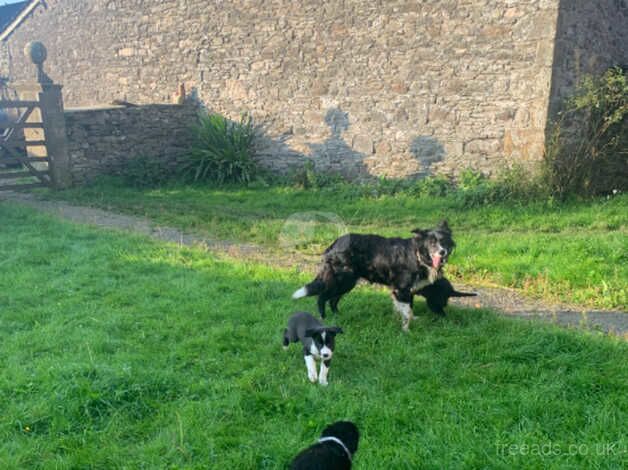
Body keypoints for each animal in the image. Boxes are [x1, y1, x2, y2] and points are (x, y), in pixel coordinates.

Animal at [292, 220, 458, 330]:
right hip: (342, 280)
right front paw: (406, 330)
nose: (442, 252)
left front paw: (407, 320)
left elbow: (407, 309)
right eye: (431, 243)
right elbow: (407, 312)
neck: (418, 255)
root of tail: (334, 243)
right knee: (322, 297)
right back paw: (323, 320)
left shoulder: (406, 290)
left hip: (347, 282)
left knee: (333, 300)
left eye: (444, 241)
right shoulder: (401, 289)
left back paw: (337, 316)